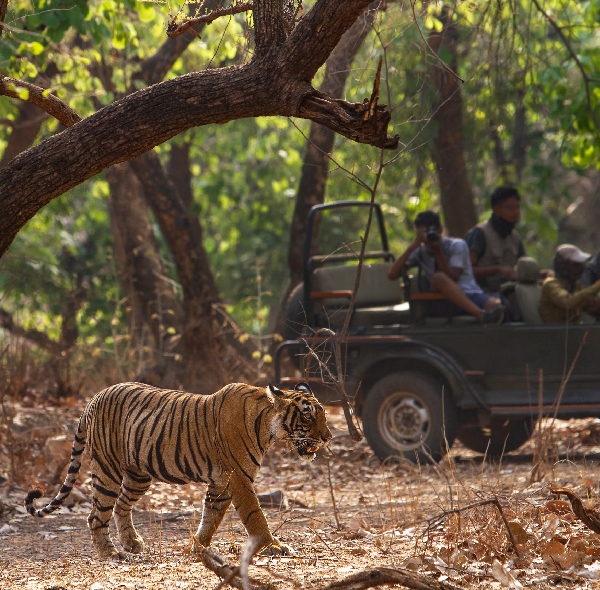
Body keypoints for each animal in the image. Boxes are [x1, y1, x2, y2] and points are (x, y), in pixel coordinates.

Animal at [24, 384, 332, 560]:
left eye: (324, 414)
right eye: (308, 415)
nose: (328, 437)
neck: (268, 426)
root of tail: (93, 398)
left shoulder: (221, 481)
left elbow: (211, 516)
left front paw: (199, 546)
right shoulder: (239, 478)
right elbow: (255, 516)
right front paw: (273, 546)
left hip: (138, 475)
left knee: (121, 505)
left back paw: (132, 543)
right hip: (107, 469)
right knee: (96, 514)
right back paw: (110, 553)